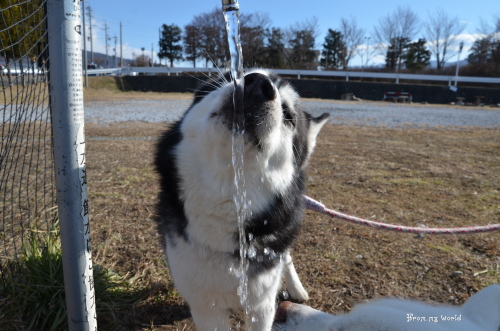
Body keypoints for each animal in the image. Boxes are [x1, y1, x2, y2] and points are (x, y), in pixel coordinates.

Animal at [156, 68, 328, 330]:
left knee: (286, 256)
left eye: (289, 116)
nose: (258, 83)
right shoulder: (206, 306)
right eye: (228, 76)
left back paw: (296, 288)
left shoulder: (262, 305)